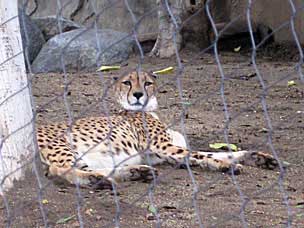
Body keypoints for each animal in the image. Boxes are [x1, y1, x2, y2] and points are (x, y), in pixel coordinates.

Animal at [37, 70, 282, 190]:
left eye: (147, 83)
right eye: (127, 83)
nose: (138, 95)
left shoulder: (161, 155)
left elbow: (216, 153)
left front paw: (259, 157)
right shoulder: (164, 148)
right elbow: (202, 155)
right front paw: (226, 166)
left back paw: (137, 172)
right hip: (63, 146)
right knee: (60, 170)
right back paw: (100, 180)